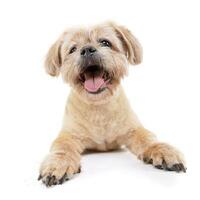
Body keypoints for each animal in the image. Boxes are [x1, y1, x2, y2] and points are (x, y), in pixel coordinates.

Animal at [38, 22, 186, 188]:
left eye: (105, 42)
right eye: (73, 49)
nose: (87, 50)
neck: (99, 107)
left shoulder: (134, 130)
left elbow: (147, 139)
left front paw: (162, 150)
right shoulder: (68, 135)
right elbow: (63, 147)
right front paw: (58, 163)